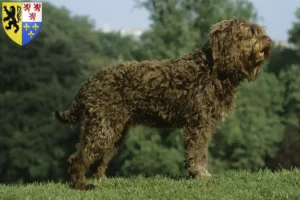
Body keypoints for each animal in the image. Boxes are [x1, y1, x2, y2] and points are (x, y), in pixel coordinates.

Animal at [54, 19, 272, 191]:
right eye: (250, 32)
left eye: (258, 30)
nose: (268, 41)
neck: (214, 69)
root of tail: (86, 85)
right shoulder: (198, 124)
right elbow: (198, 152)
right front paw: (202, 175)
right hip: (103, 128)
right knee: (78, 158)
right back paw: (81, 185)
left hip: (112, 129)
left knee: (99, 157)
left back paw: (101, 180)